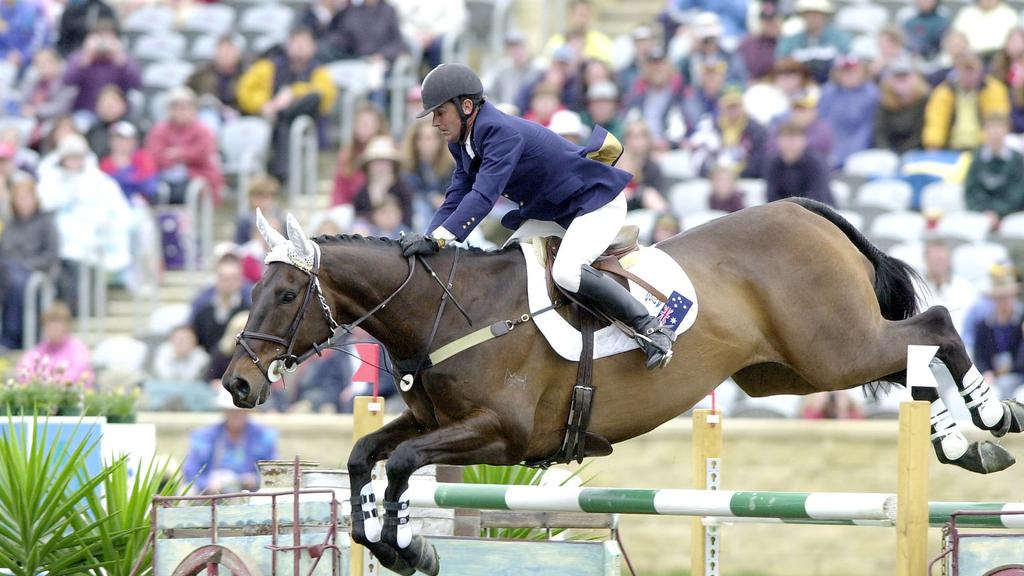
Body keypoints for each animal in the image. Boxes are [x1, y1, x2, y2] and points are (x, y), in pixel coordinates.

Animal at [222, 198, 1024, 573]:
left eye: (286, 296)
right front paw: (385, 540)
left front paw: (409, 546)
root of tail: (802, 210)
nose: (236, 384)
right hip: (790, 370)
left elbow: (401, 465)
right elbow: (367, 458)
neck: (453, 309)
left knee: (935, 325)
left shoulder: (503, 435)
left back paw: (990, 419)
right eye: (254, 290)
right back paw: (961, 442)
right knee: (910, 357)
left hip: (832, 349)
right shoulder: (433, 422)